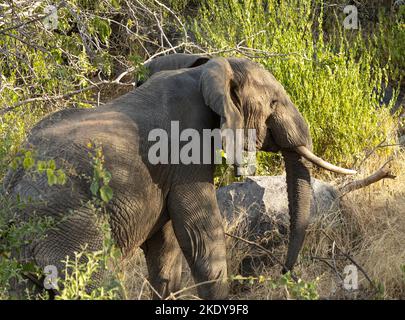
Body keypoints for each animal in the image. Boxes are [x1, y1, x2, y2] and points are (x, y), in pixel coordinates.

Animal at [2, 53, 354, 300]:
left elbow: (166, 247)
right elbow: (200, 235)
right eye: (274, 102)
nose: (283, 272)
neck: (205, 67)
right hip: (71, 229)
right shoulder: (186, 148)